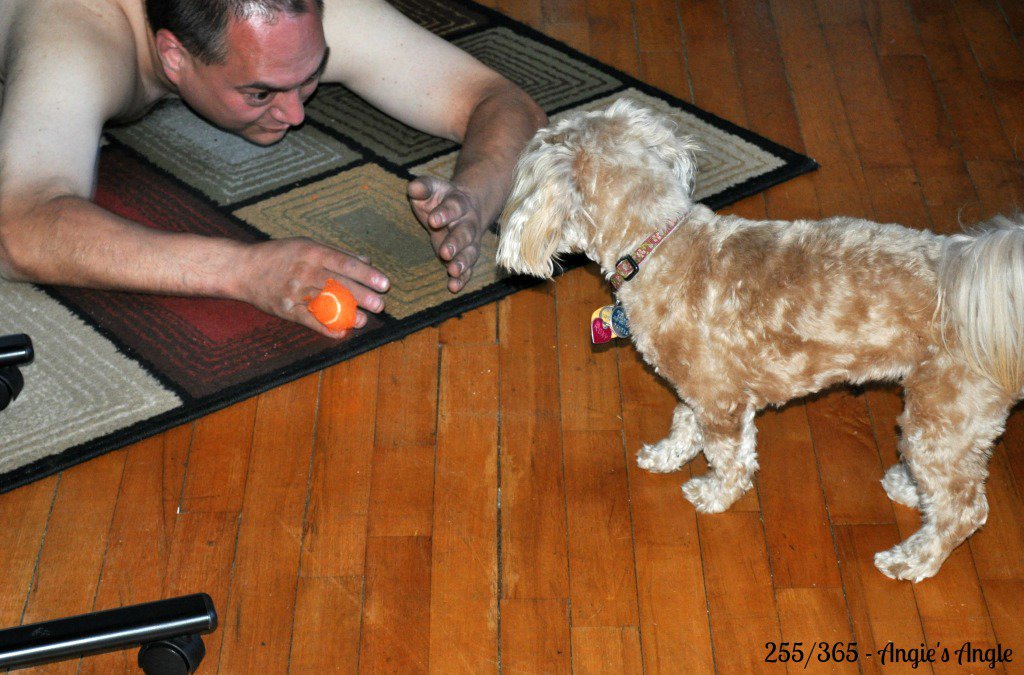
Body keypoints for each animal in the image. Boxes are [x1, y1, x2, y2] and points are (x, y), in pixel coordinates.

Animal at [497, 98, 1024, 581]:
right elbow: (683, 422)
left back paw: (912, 559)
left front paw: (713, 494)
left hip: (942, 418)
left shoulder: (721, 401)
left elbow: (729, 456)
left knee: (963, 508)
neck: (659, 244)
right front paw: (668, 455)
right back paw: (909, 488)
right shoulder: (700, 390)